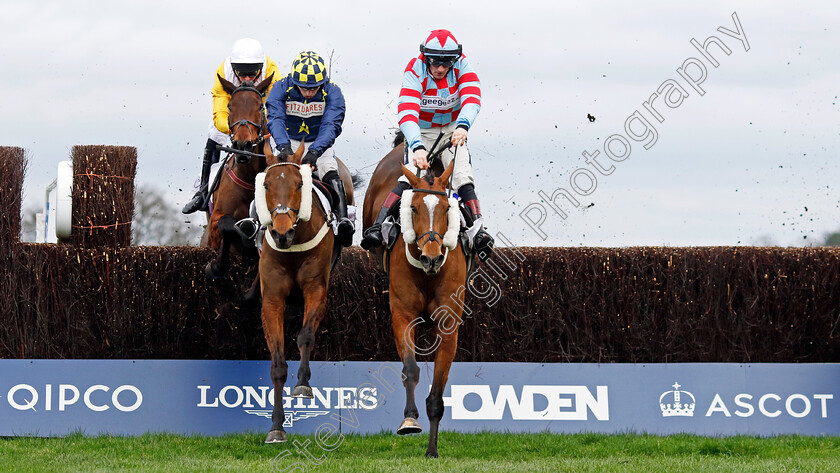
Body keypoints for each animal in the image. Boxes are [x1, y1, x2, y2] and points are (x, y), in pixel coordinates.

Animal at [199, 74, 272, 280]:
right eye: (230, 106)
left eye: (260, 107)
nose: (242, 146)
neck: (248, 179)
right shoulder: (215, 223)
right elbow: (228, 224)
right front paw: (217, 267)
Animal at [260, 144, 358, 442]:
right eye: (266, 184)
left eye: (300, 184)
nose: (281, 232)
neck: (293, 244)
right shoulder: (271, 300)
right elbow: (277, 363)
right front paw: (276, 427)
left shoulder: (316, 289)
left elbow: (305, 336)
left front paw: (302, 384)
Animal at [360, 140, 466, 458]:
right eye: (414, 207)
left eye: (446, 208)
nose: (432, 258)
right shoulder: (403, 315)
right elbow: (410, 369)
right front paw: (409, 420)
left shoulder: (449, 324)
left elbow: (438, 391)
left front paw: (432, 449)